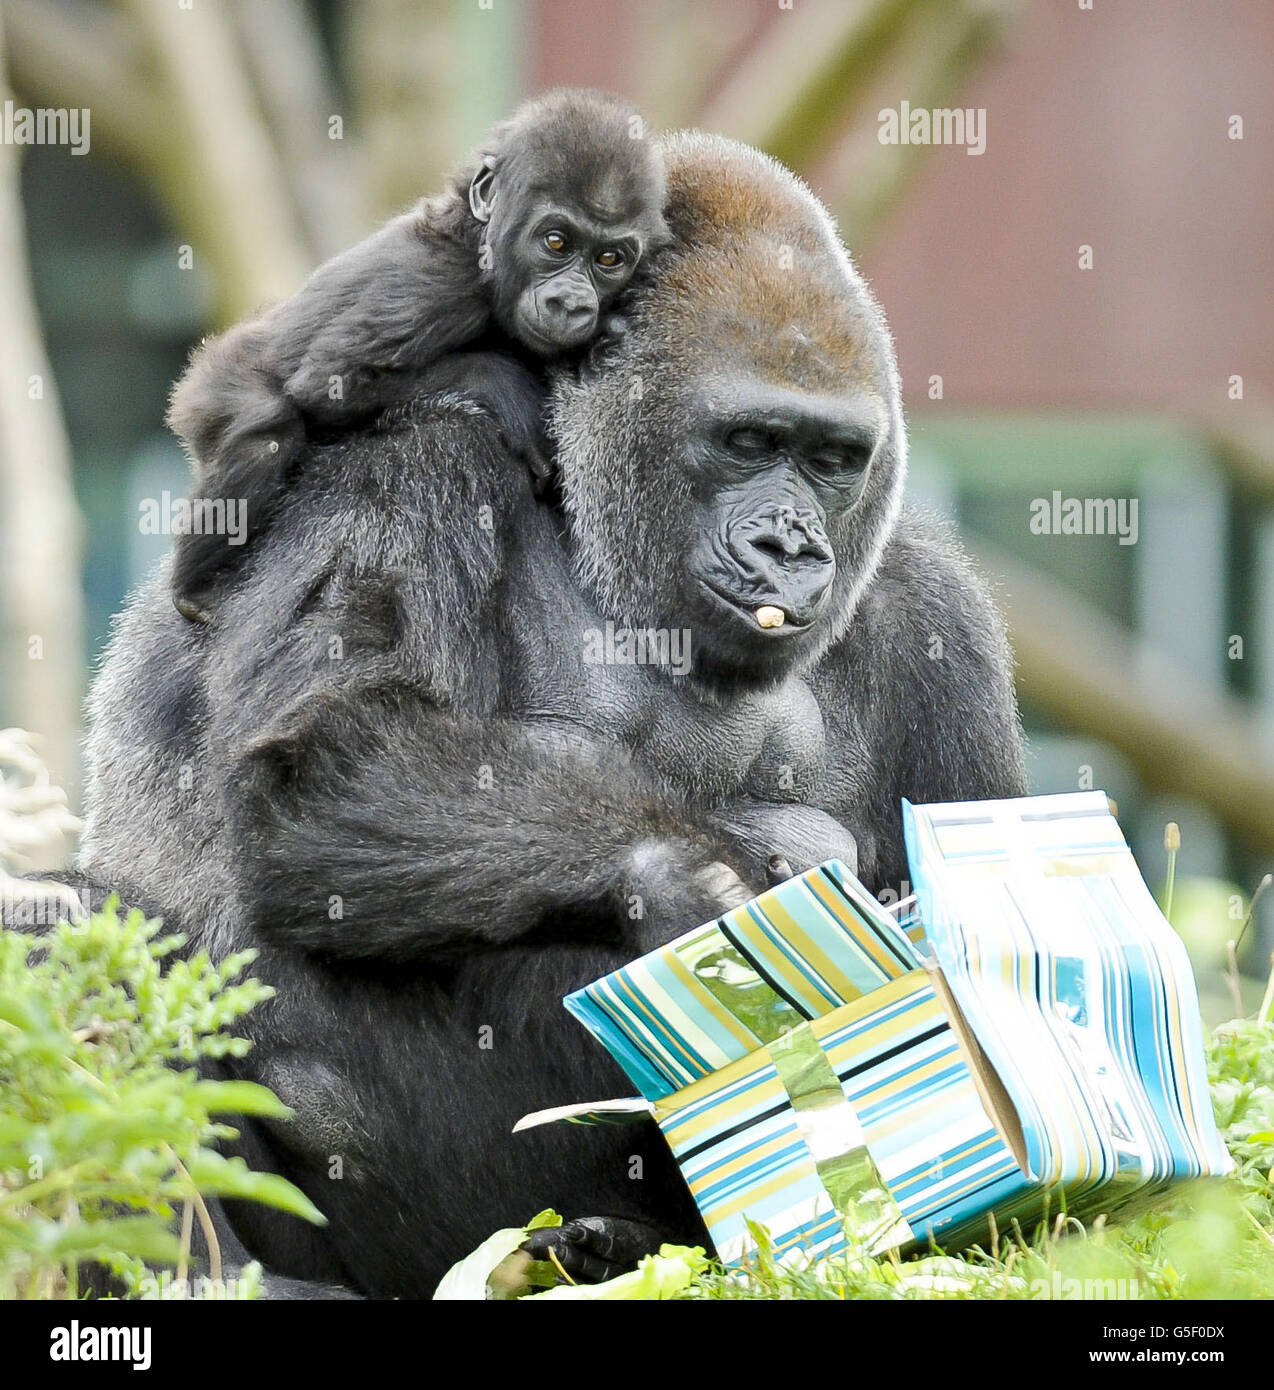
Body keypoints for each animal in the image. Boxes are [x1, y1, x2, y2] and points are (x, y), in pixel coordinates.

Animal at [166, 87, 669, 623]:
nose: (572, 304)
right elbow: (330, 383)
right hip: (217, 382)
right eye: (556, 241)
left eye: (609, 259)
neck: (475, 240)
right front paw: (503, 385)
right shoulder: (437, 287)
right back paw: (192, 589)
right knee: (266, 432)